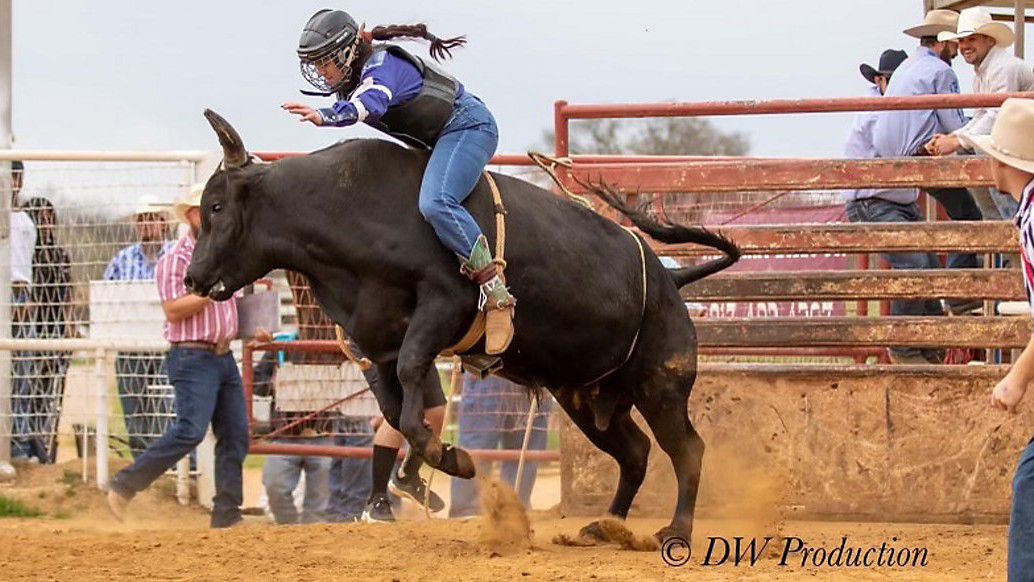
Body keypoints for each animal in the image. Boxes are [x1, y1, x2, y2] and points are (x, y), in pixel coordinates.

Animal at [186, 110, 740, 545]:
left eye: (216, 207)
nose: (192, 277)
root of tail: (669, 278)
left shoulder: (443, 304)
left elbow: (412, 382)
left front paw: (451, 459)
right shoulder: (376, 341)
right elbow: (398, 408)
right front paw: (434, 463)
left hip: (662, 384)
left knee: (686, 450)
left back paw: (676, 530)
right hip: (588, 397)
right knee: (636, 452)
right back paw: (607, 525)